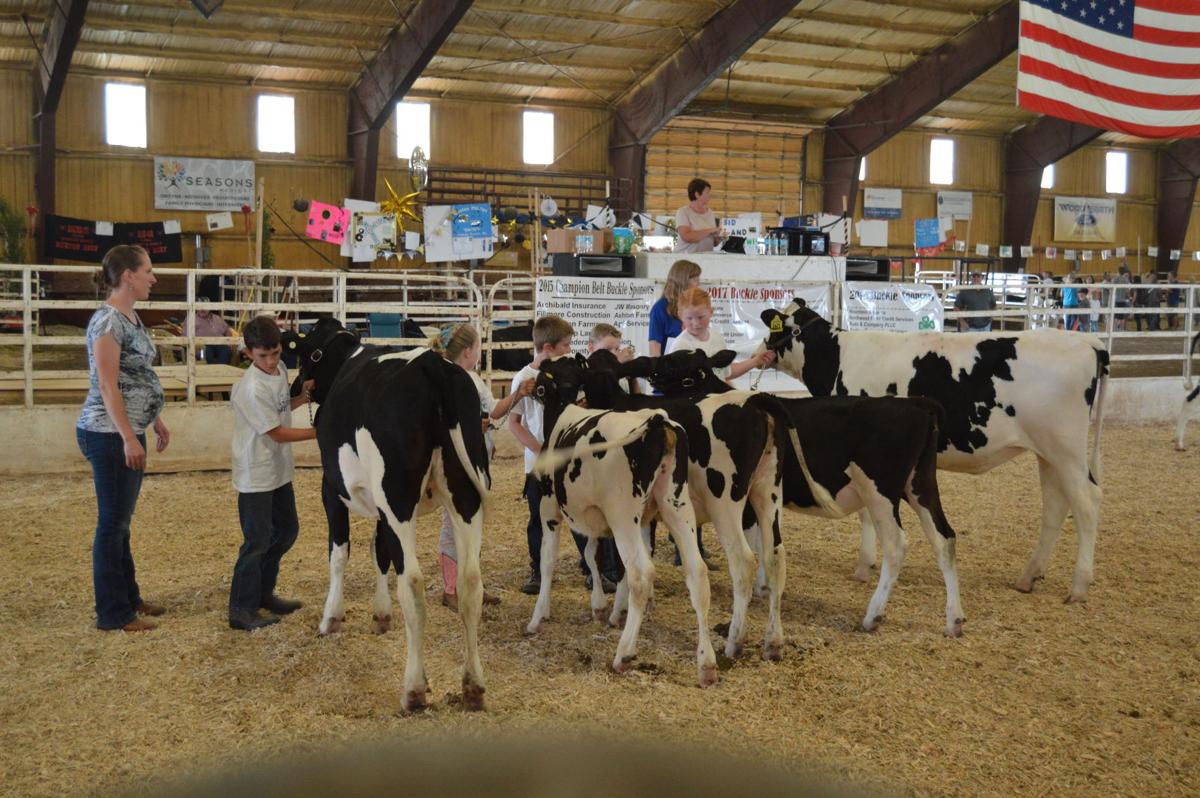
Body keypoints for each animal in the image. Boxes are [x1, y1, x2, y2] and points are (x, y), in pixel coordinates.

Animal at [285, 316, 492, 710]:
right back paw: (472, 685)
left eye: (307, 353)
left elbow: (340, 552)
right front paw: (381, 614)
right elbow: (379, 550)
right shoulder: (381, 507)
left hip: (398, 499)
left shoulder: (332, 489)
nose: (294, 388)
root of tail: (433, 365)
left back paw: (413, 689)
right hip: (465, 496)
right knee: (471, 583)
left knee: (411, 583)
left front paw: (331, 618)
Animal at [525, 355, 710, 686]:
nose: (531, 390)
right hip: (676, 505)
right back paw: (707, 664)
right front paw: (601, 606)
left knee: (641, 573)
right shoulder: (607, 519)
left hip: (623, 514)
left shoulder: (550, 509)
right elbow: (592, 554)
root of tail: (657, 421)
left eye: (543, 383)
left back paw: (624, 654)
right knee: (697, 571)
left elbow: (548, 562)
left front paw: (538, 617)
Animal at [648, 352, 964, 638]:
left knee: (897, 545)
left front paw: (760, 586)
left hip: (881, 492)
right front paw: (765, 585)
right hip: (920, 485)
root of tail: (917, 404)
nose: (651, 373)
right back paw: (954, 620)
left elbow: (756, 540)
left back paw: (873, 615)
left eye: (678, 365)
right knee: (944, 538)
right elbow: (767, 540)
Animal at [763, 302, 1108, 600]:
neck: (838, 355)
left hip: (1065, 449)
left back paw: (1079, 586)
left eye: (773, 328)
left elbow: (865, 514)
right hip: (1048, 453)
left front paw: (863, 566)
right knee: (1056, 505)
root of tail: (1089, 342)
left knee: (1087, 502)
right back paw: (1029, 576)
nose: (760, 350)